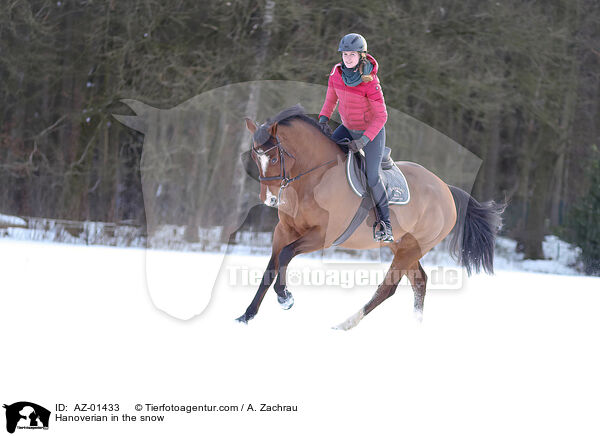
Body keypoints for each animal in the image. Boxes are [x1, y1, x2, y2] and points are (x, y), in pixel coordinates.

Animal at [234, 106, 502, 330]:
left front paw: (285, 297)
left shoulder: (322, 236)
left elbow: (286, 255)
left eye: (275, 158)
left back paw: (345, 324)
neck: (316, 177)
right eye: (256, 158)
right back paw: (415, 325)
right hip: (402, 246)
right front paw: (246, 316)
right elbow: (271, 267)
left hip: (412, 248)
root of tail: (446, 188)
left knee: (388, 288)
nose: (269, 199)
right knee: (419, 282)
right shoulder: (284, 230)